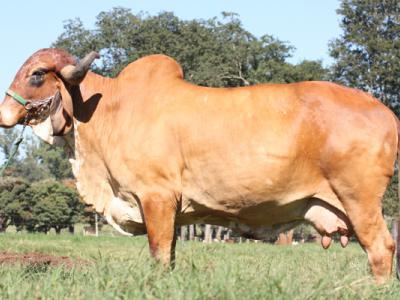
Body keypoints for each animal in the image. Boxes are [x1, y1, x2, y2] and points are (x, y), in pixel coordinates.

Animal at [0, 48, 400, 282]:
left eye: (37, 74)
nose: (4, 114)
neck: (105, 109)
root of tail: (386, 112)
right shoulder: (170, 208)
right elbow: (171, 254)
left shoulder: (157, 197)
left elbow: (160, 254)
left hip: (360, 200)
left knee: (381, 249)